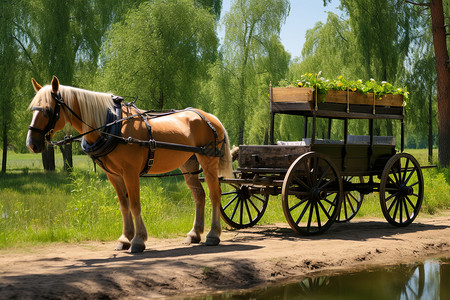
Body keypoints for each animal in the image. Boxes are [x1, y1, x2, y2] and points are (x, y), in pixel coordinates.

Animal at [26, 76, 234, 252]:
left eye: (47, 110)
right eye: (33, 109)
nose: (31, 144)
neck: (111, 126)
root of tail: (210, 117)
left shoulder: (130, 172)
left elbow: (134, 204)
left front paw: (138, 240)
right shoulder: (114, 175)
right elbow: (123, 205)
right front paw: (125, 238)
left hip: (208, 161)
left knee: (215, 195)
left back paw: (213, 235)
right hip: (189, 164)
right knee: (199, 195)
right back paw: (194, 233)